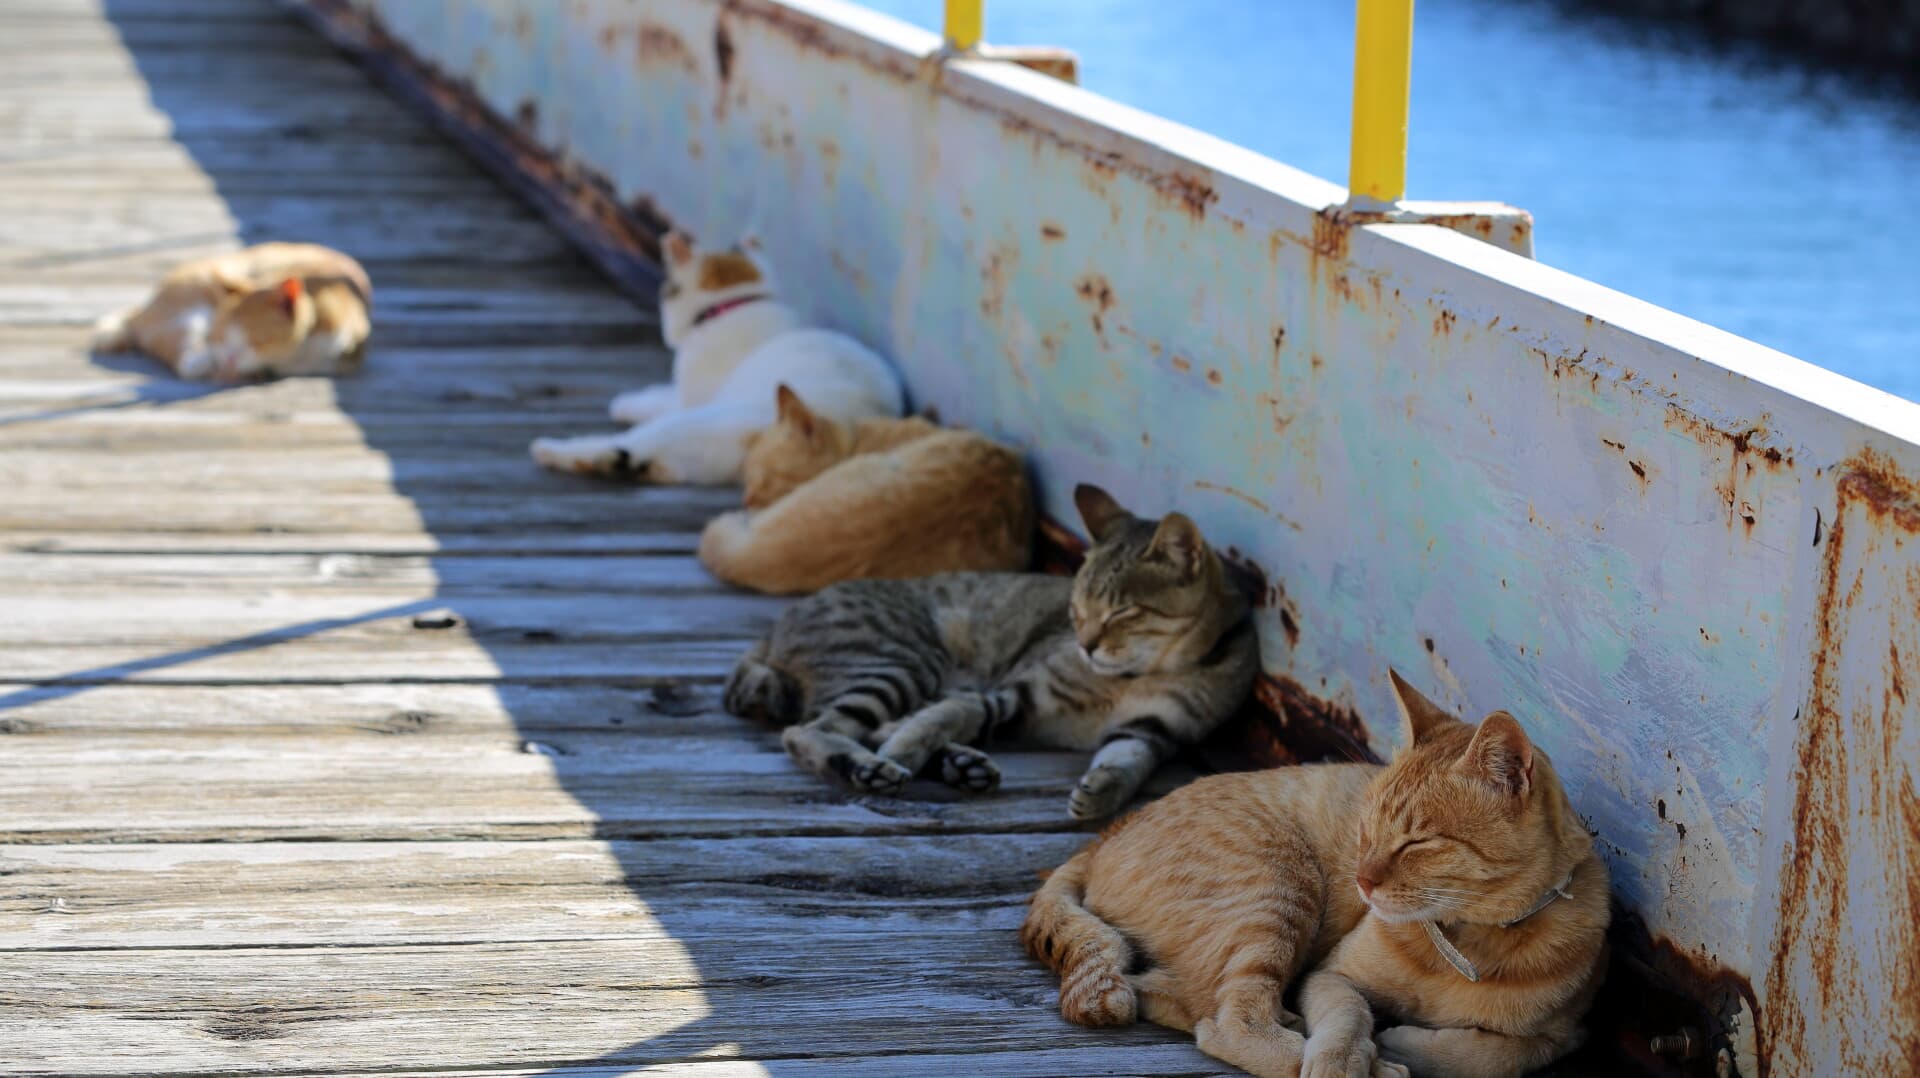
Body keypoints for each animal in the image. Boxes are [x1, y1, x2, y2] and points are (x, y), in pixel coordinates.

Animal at [529, 235, 902, 488]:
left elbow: (660, 397)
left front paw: (625, 403)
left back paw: (551, 449)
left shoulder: (691, 396)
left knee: (624, 444)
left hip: (695, 420)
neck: (737, 304)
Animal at [721, 480, 1259, 814]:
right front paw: (908, 748)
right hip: (900, 662)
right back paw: (873, 767)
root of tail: (774, 628)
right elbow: (948, 715)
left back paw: (961, 765)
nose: (1086, 647)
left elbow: (1127, 762)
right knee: (810, 730)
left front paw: (1102, 792)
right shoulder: (1013, 693)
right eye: (1076, 611)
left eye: (1122, 612)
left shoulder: (1153, 732)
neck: (1140, 676)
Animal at [1029, 672, 1612, 1076]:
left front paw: (1407, 1041)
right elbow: (1348, 1017)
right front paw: (1353, 1055)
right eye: (1366, 829)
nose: (1362, 882)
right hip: (1278, 892)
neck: (1466, 942)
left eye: (1417, 842)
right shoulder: (1331, 974)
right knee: (1226, 1020)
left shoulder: (1565, 1037)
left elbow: (1498, 1055)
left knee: (1173, 995)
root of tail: (1106, 837)